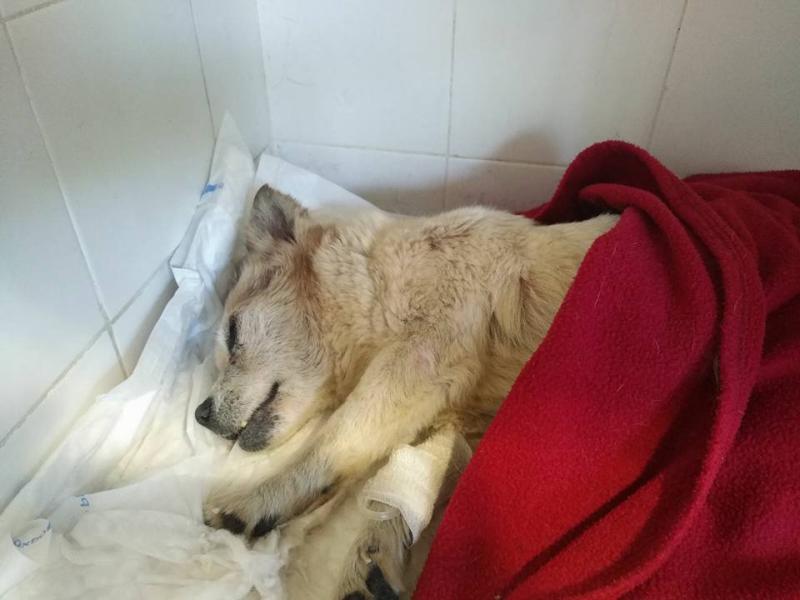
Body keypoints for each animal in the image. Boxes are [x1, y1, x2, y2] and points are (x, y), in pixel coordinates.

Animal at [196, 184, 618, 598]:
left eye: (232, 332)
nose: (201, 413)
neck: (376, 279)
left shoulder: (422, 355)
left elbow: (334, 441)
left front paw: (257, 502)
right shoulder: (472, 426)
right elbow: (420, 482)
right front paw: (373, 557)